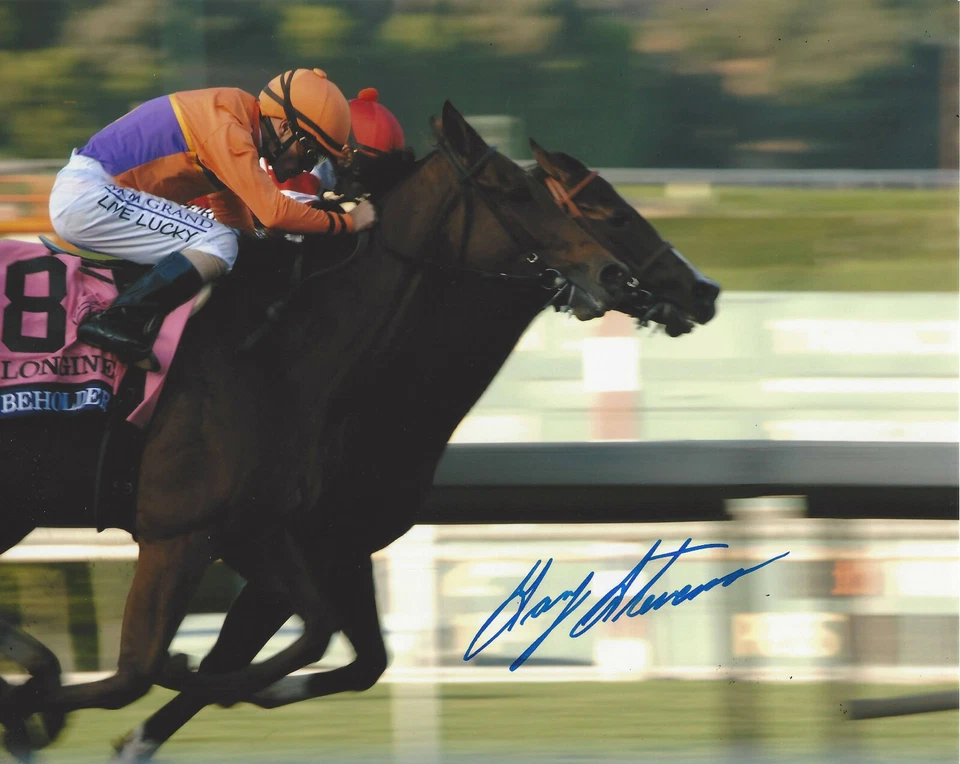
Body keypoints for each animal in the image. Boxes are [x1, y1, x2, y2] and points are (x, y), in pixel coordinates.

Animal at [0, 101, 637, 756]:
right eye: (514, 191)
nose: (616, 274)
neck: (278, 349)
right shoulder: (182, 531)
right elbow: (137, 673)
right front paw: (38, 705)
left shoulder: (271, 530)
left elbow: (323, 638)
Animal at [109, 137, 720, 760]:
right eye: (613, 214)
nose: (705, 289)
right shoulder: (280, 537)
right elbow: (232, 654)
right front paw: (153, 721)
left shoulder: (335, 545)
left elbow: (361, 662)